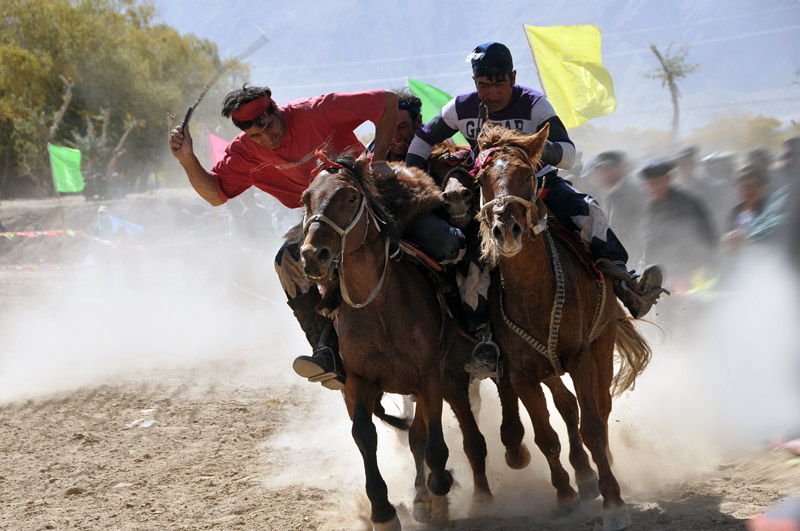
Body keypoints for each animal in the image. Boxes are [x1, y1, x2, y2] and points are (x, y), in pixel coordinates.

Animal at [300, 156, 532, 528]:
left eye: (350, 197)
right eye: (307, 197)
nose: (313, 255)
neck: (380, 311)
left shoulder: (430, 378)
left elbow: (433, 444)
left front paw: (439, 486)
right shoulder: (357, 383)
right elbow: (366, 435)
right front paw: (383, 510)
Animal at [472, 122, 652, 528]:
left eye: (527, 175)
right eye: (482, 180)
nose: (506, 229)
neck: (535, 294)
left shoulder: (581, 357)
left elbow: (594, 427)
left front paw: (613, 500)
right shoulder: (521, 374)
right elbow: (545, 436)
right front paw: (566, 494)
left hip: (602, 342)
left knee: (600, 407)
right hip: (548, 368)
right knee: (567, 405)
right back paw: (583, 477)